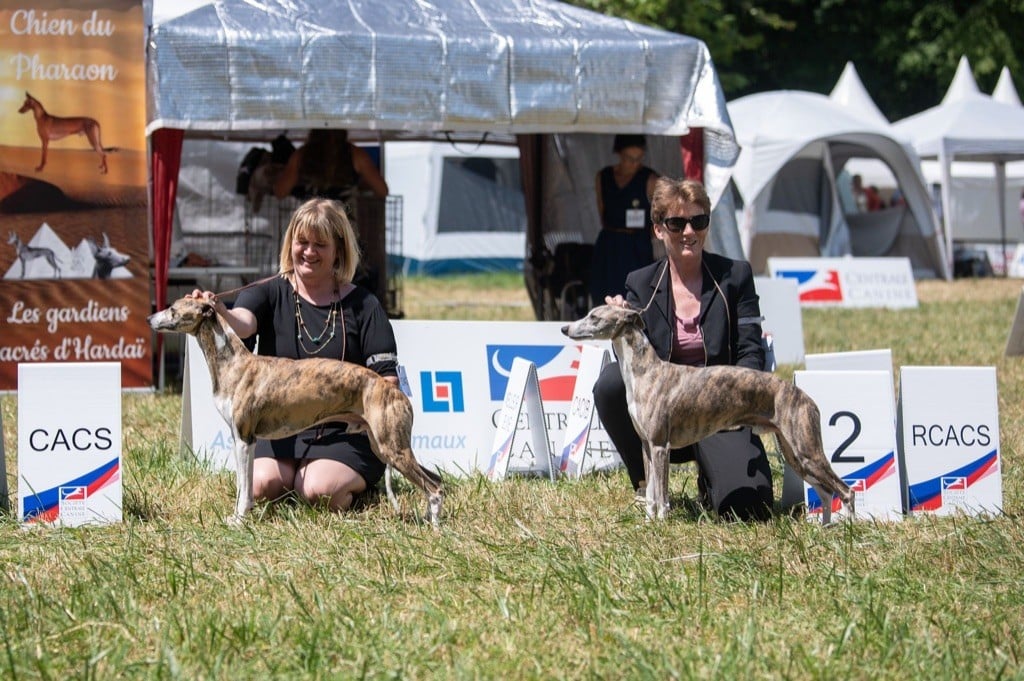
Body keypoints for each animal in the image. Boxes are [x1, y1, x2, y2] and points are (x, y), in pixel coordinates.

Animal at [148, 294, 444, 522]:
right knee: (436, 480)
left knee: (434, 488)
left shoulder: (244, 438)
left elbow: (243, 486)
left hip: (391, 447)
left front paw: (239, 520)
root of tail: (396, 392)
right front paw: (237, 516)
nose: (149, 319)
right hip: (384, 445)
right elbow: (245, 484)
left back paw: (435, 531)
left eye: (173, 309)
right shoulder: (243, 440)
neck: (233, 363)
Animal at [565, 303, 851, 524]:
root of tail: (806, 398)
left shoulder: (660, 446)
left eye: (594, 316)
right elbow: (651, 494)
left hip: (807, 452)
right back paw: (824, 529)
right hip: (795, 455)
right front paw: (647, 523)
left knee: (846, 491)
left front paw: (660, 526)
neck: (646, 372)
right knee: (826, 493)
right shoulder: (646, 445)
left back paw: (847, 533)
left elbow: (662, 495)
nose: (564, 329)